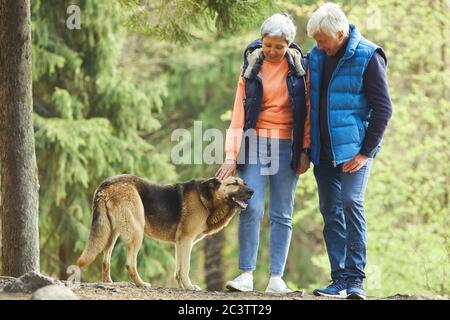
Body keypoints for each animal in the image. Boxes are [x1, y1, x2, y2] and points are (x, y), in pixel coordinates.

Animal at [77, 174, 253, 292]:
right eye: (234, 183)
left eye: (244, 183)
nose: (252, 191)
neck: (208, 197)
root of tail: (105, 184)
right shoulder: (186, 240)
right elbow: (185, 267)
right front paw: (189, 286)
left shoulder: (180, 243)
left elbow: (178, 269)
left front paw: (182, 286)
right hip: (136, 232)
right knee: (130, 263)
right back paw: (141, 284)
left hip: (111, 233)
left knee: (105, 260)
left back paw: (108, 283)